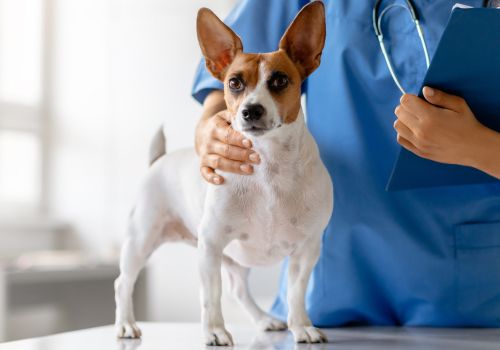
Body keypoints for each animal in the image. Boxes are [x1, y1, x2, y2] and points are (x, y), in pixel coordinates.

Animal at [113, 0, 332, 344]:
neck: (268, 168)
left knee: (239, 289)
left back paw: (264, 320)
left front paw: (301, 326)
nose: (251, 110)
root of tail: (158, 160)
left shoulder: (306, 250)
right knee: (123, 283)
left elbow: (296, 294)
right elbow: (210, 296)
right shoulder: (211, 245)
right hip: (141, 240)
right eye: (234, 83)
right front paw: (215, 330)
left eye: (280, 81)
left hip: (235, 259)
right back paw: (125, 324)